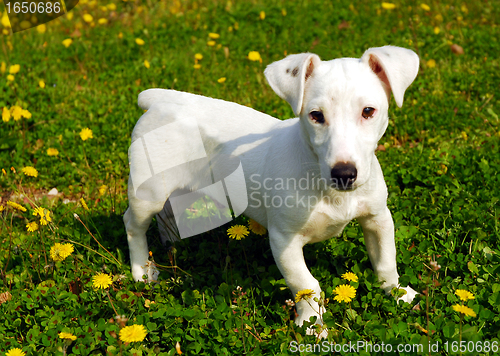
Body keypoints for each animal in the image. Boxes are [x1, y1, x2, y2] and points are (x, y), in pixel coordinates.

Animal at [124, 46, 418, 332]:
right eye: (316, 115)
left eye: (368, 111)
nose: (344, 174)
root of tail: (160, 101)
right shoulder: (283, 239)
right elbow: (305, 285)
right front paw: (312, 325)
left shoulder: (378, 218)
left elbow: (386, 261)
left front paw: (400, 294)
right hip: (146, 193)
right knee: (133, 224)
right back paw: (143, 271)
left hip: (181, 187)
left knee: (167, 213)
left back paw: (172, 243)